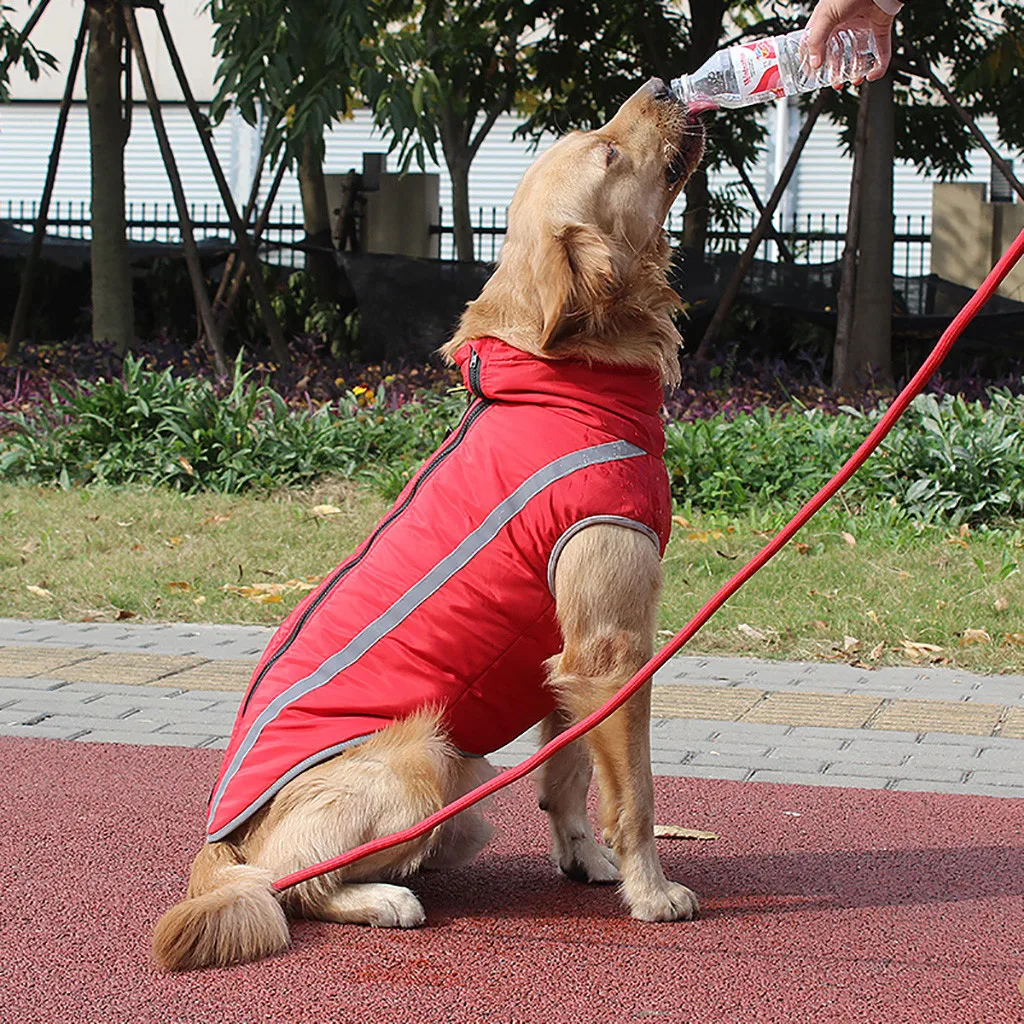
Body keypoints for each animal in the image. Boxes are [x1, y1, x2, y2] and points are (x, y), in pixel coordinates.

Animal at [153, 77, 704, 966]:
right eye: (609, 152)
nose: (660, 84)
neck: (558, 383)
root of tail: (220, 840)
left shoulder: (565, 659)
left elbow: (568, 777)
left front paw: (585, 861)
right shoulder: (613, 650)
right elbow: (637, 797)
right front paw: (650, 893)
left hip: (465, 797)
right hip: (427, 759)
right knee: (288, 886)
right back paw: (382, 898)